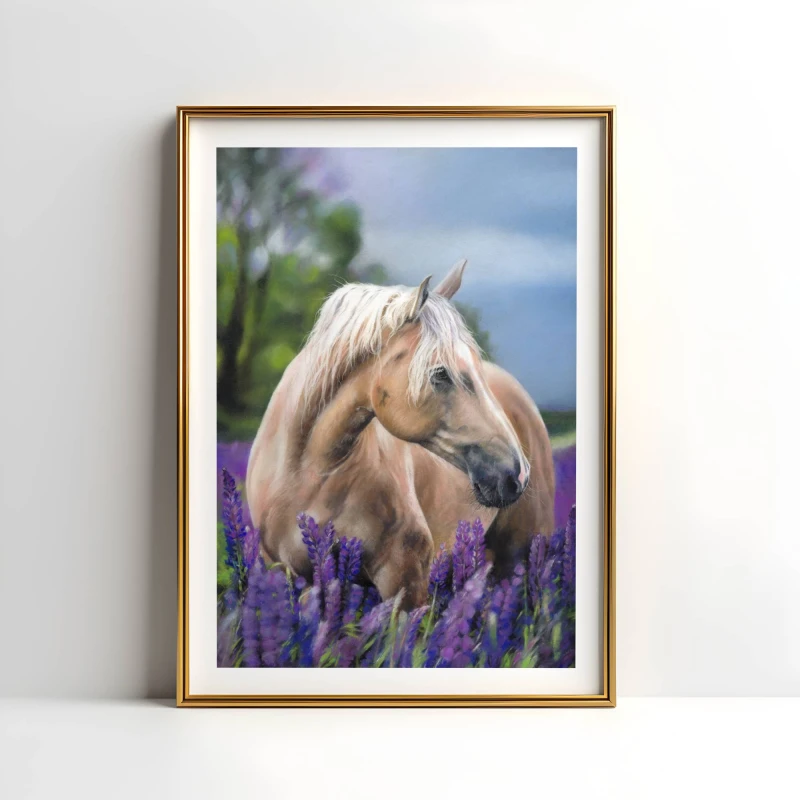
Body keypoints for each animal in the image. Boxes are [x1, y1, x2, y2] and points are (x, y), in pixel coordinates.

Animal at [246, 259, 555, 609]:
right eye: (440, 373)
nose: (517, 473)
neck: (311, 472)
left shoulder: (405, 581)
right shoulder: (295, 577)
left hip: (523, 554)